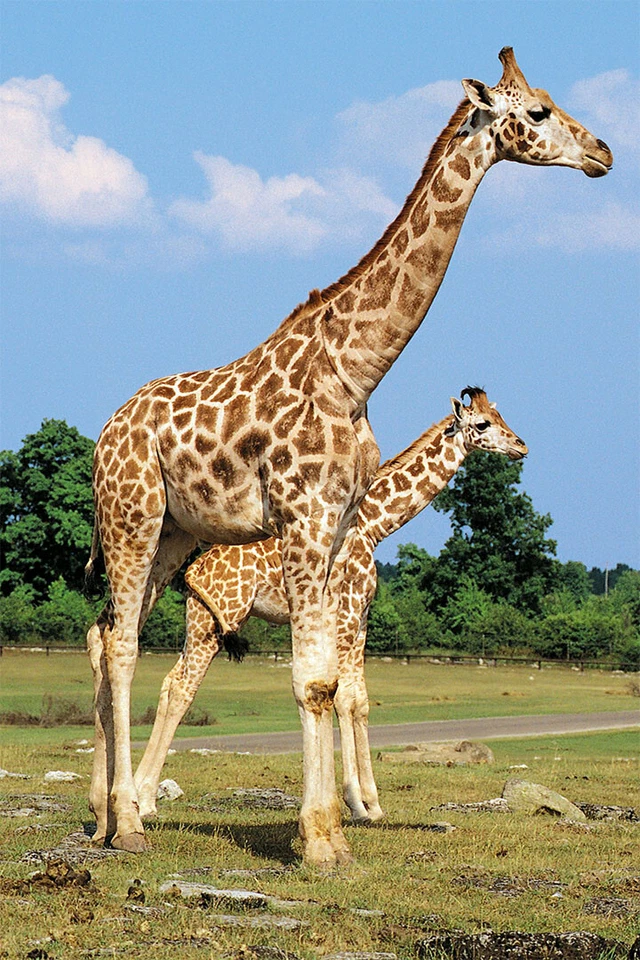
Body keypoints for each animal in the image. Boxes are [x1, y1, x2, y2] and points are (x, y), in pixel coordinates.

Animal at [133, 387, 527, 823]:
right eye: (483, 424)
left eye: (501, 416)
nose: (521, 445)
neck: (374, 525)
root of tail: (193, 570)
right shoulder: (346, 613)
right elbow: (342, 699)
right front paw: (357, 802)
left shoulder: (361, 618)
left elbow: (360, 700)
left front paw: (372, 804)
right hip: (219, 619)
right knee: (183, 687)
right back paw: (144, 800)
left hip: (200, 618)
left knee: (170, 683)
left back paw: (139, 795)